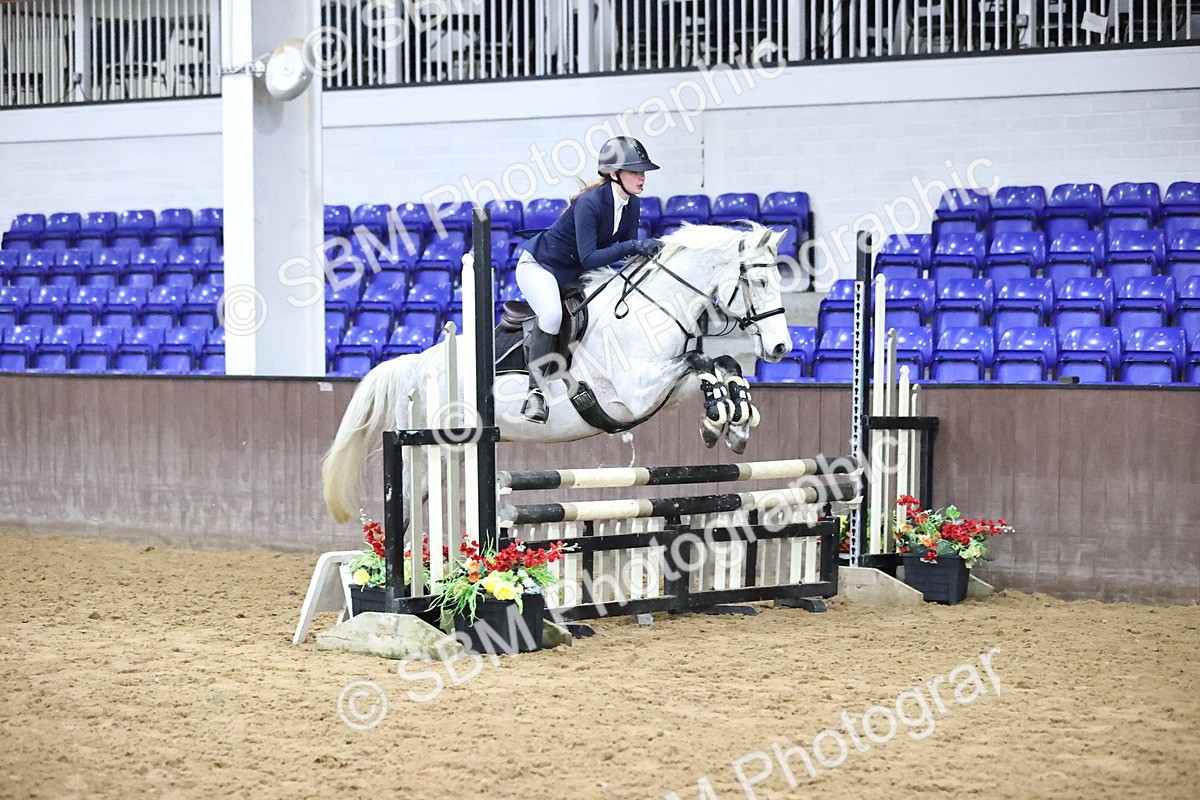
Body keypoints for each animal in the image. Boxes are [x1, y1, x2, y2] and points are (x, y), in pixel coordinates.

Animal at [322, 222, 793, 525]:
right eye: (758, 282)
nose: (780, 348)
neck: (653, 309)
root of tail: (417, 364)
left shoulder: (665, 392)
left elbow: (721, 364)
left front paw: (735, 421)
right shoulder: (635, 393)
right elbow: (699, 363)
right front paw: (718, 420)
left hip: (453, 455)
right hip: (426, 453)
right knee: (401, 512)